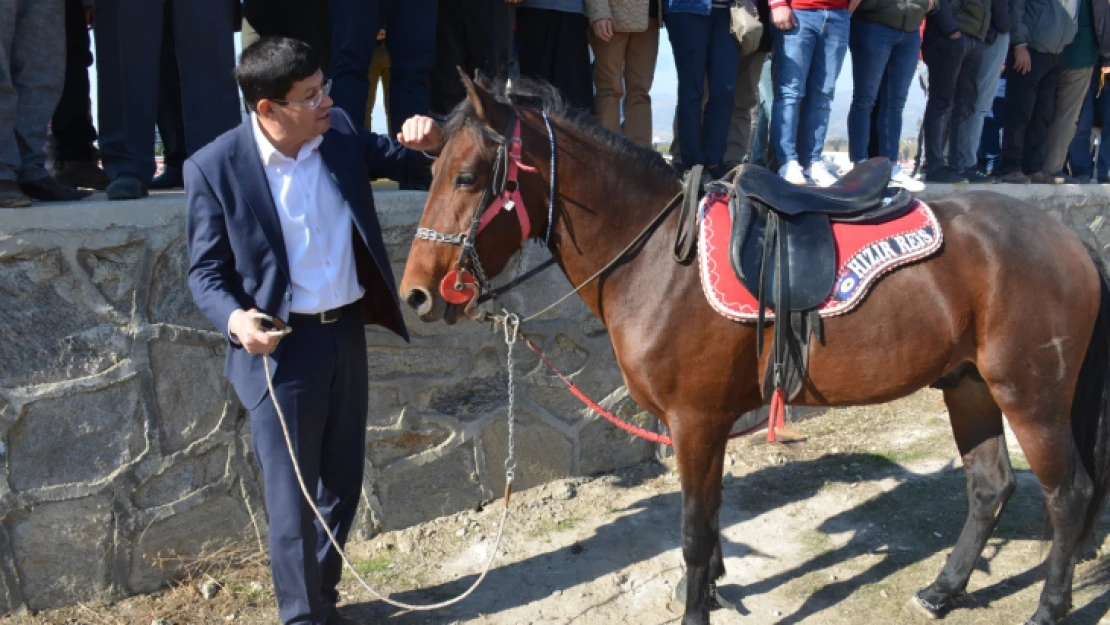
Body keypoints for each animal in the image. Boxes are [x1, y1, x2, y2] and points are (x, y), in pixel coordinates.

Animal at [399, 74, 1110, 625]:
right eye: (430, 170)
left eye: (467, 177)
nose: (416, 295)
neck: (658, 261)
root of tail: (1069, 240)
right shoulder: (702, 427)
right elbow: (710, 521)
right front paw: (713, 588)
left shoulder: (695, 421)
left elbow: (693, 532)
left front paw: (696, 607)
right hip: (969, 385)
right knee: (990, 487)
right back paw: (943, 589)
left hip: (1031, 396)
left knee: (1070, 495)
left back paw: (1049, 606)